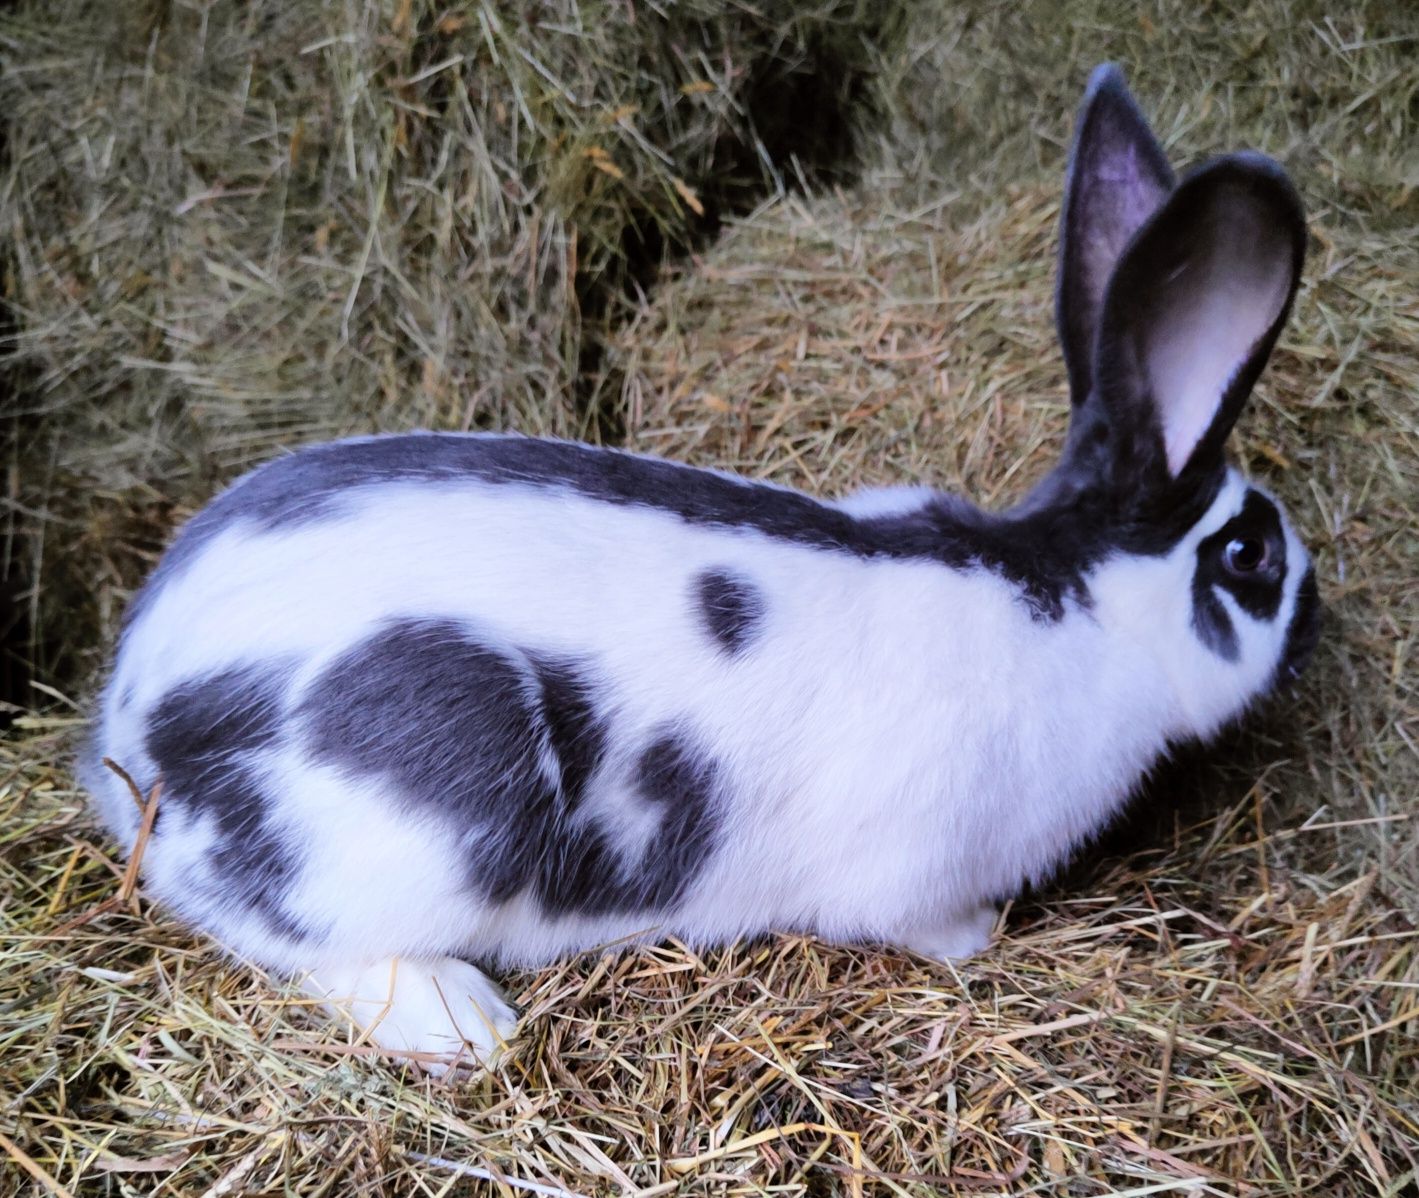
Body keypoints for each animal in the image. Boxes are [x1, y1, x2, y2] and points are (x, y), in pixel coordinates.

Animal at [80, 65, 1316, 1073]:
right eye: (1250, 553)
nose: (1316, 620)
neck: (1076, 599)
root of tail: (128, 729)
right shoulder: (922, 873)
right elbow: (936, 927)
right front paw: (983, 945)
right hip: (418, 816)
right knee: (288, 937)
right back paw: (461, 1020)